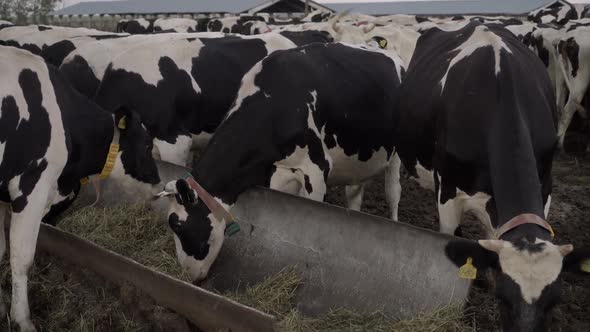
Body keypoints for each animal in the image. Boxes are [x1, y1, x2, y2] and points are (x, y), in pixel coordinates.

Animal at [0, 45, 160, 330]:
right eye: (147, 145)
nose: (158, 178)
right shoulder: (32, 187)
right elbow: (21, 257)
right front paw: (23, 319)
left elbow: (0, 249)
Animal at [157, 42, 408, 282]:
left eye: (177, 225)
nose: (188, 275)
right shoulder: (277, 175)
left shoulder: (316, 170)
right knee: (354, 195)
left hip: (396, 157)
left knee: (393, 193)